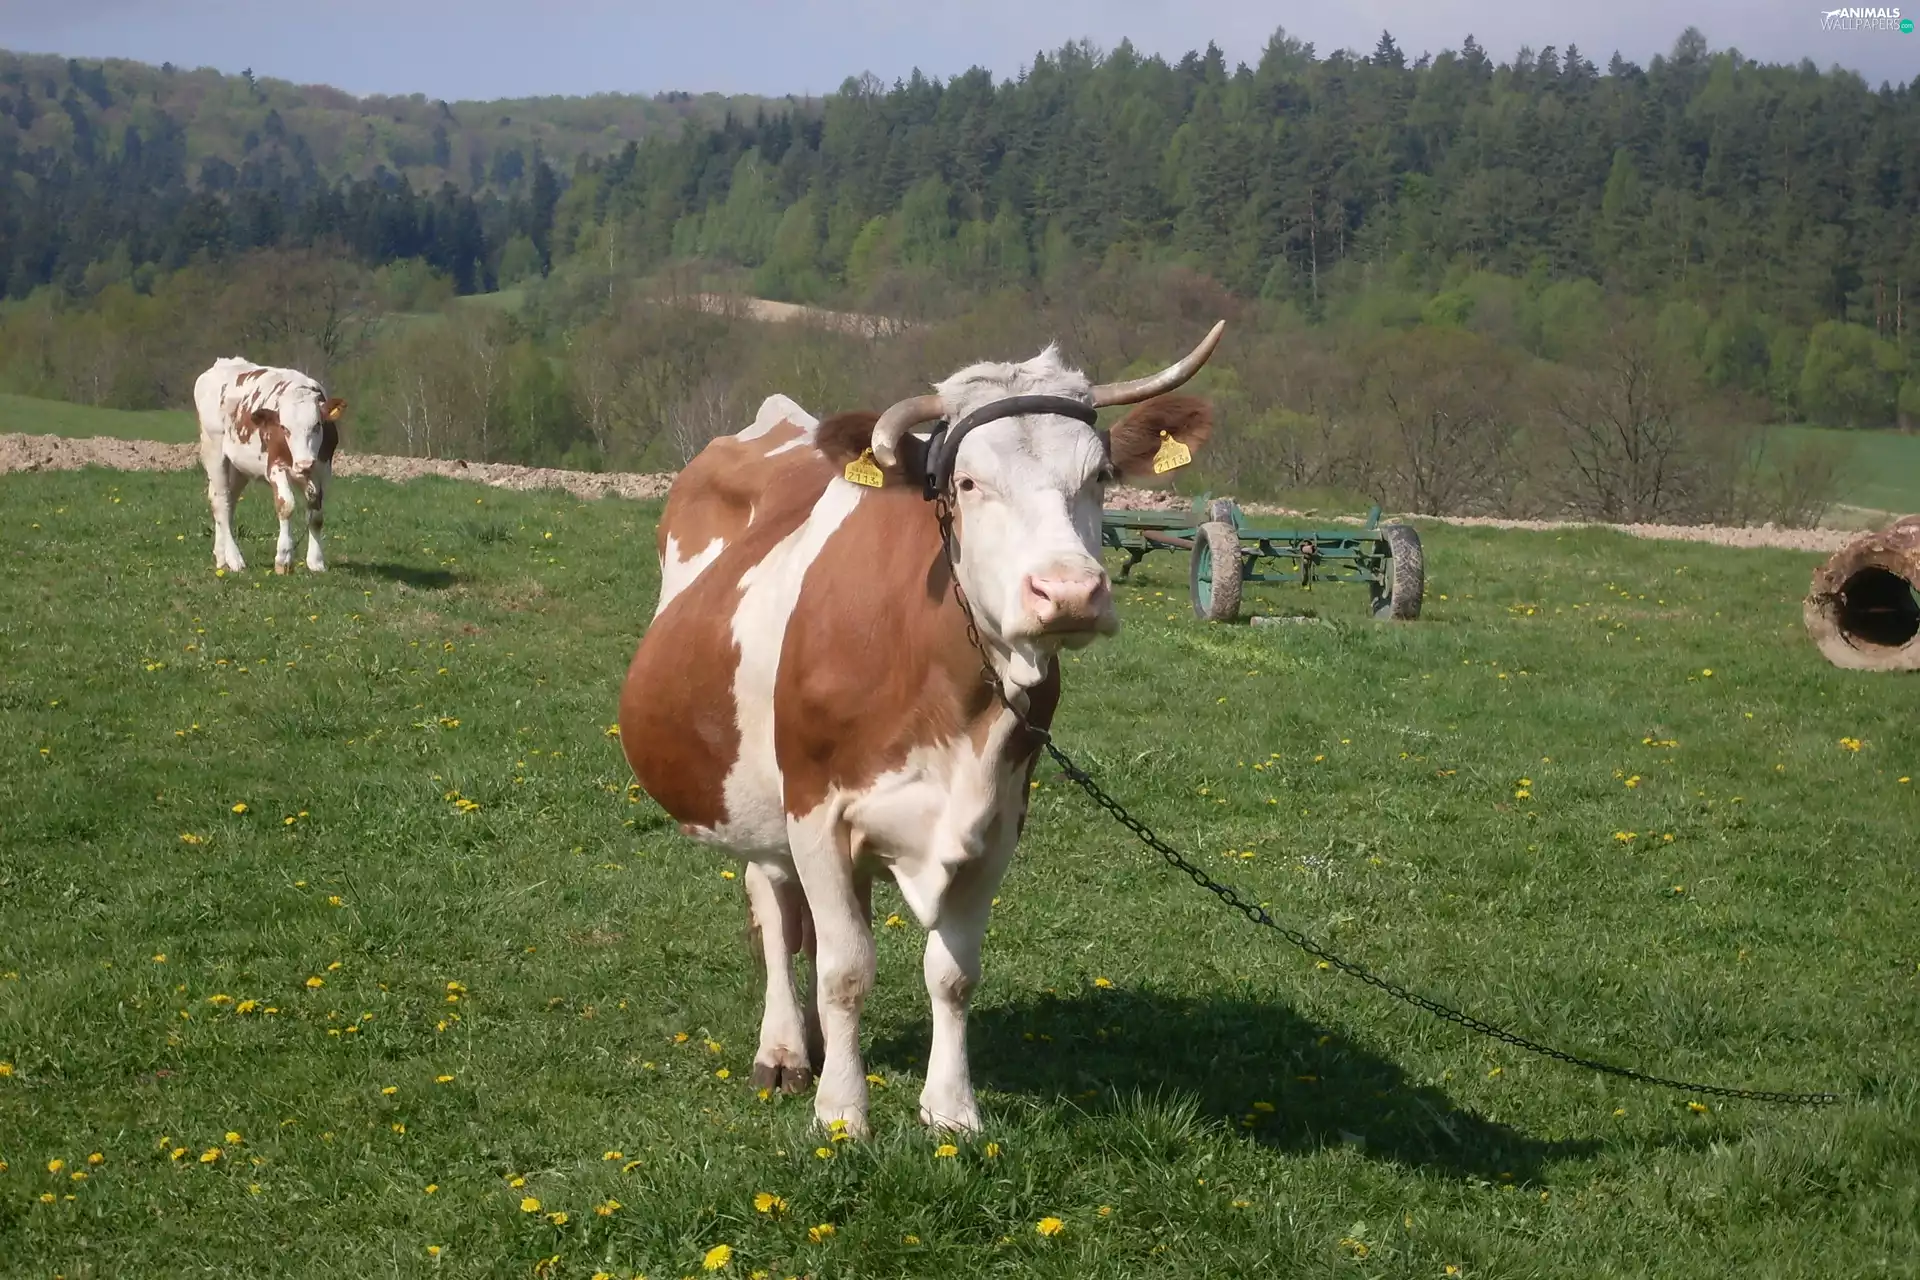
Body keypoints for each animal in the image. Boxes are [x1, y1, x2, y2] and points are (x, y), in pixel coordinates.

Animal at [192, 357, 346, 575]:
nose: (304, 463)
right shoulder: (275, 468)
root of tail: (222, 363)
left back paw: (222, 556)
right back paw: (234, 559)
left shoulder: (321, 471)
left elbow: (316, 516)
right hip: (213, 450)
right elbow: (286, 505)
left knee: (228, 502)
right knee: (221, 502)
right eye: (284, 428)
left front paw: (316, 562)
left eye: (317, 425)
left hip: (239, 467)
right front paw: (283, 558)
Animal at [618, 322, 1223, 1139]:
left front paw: (951, 1108)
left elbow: (952, 974)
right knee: (776, 915)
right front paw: (842, 1112)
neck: (956, 704)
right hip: (758, 800)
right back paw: (785, 1050)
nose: (1069, 592)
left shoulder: (997, 821)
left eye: (1099, 475)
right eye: (965, 483)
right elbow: (846, 970)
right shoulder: (815, 809)